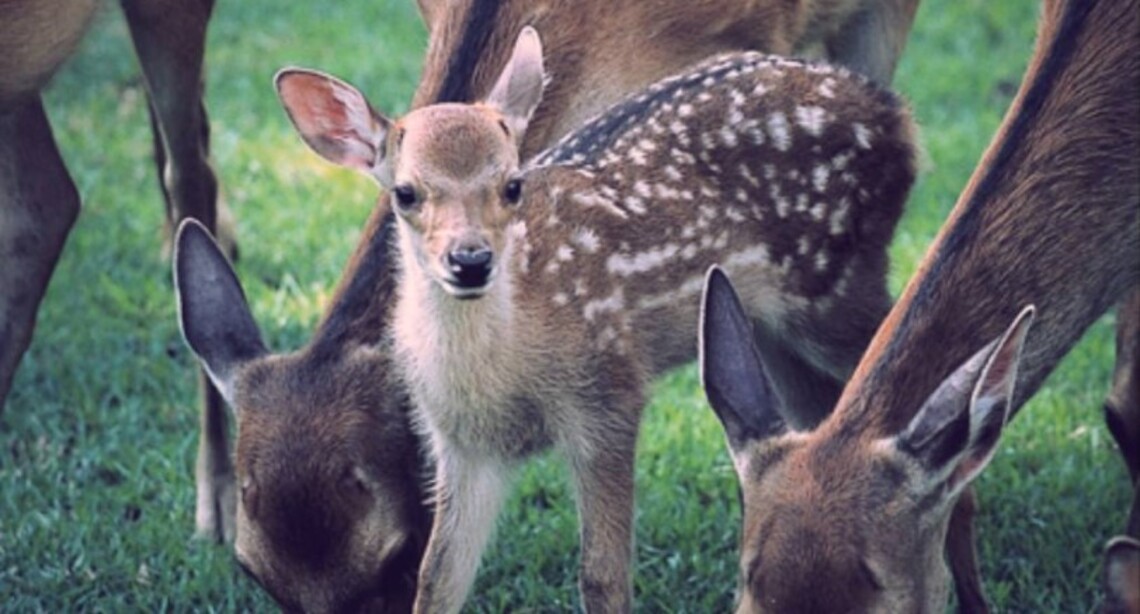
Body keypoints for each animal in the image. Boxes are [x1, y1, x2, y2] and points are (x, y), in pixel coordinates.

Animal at [177, 0, 927, 608]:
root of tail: (901, 118)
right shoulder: (463, 445)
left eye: (512, 186)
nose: (470, 259)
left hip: (838, 284)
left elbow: (602, 577)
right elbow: (442, 581)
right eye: (249, 570)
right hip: (773, 324)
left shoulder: (608, 397)